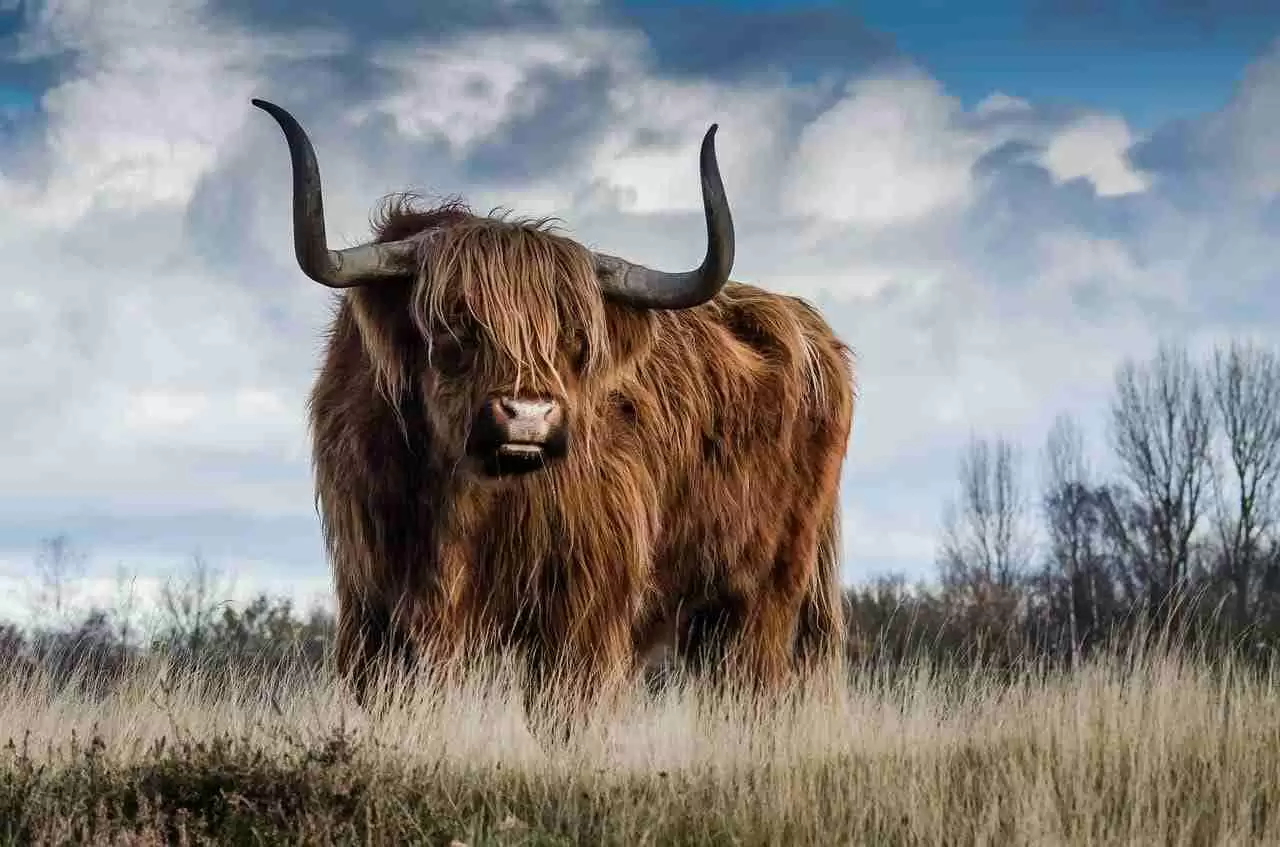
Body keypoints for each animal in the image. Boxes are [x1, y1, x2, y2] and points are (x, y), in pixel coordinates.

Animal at [250, 98, 856, 736]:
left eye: (574, 339)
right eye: (454, 325)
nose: (528, 415)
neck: (463, 504)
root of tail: (813, 329)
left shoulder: (583, 607)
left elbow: (567, 711)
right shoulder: (376, 605)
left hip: (765, 592)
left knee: (750, 688)